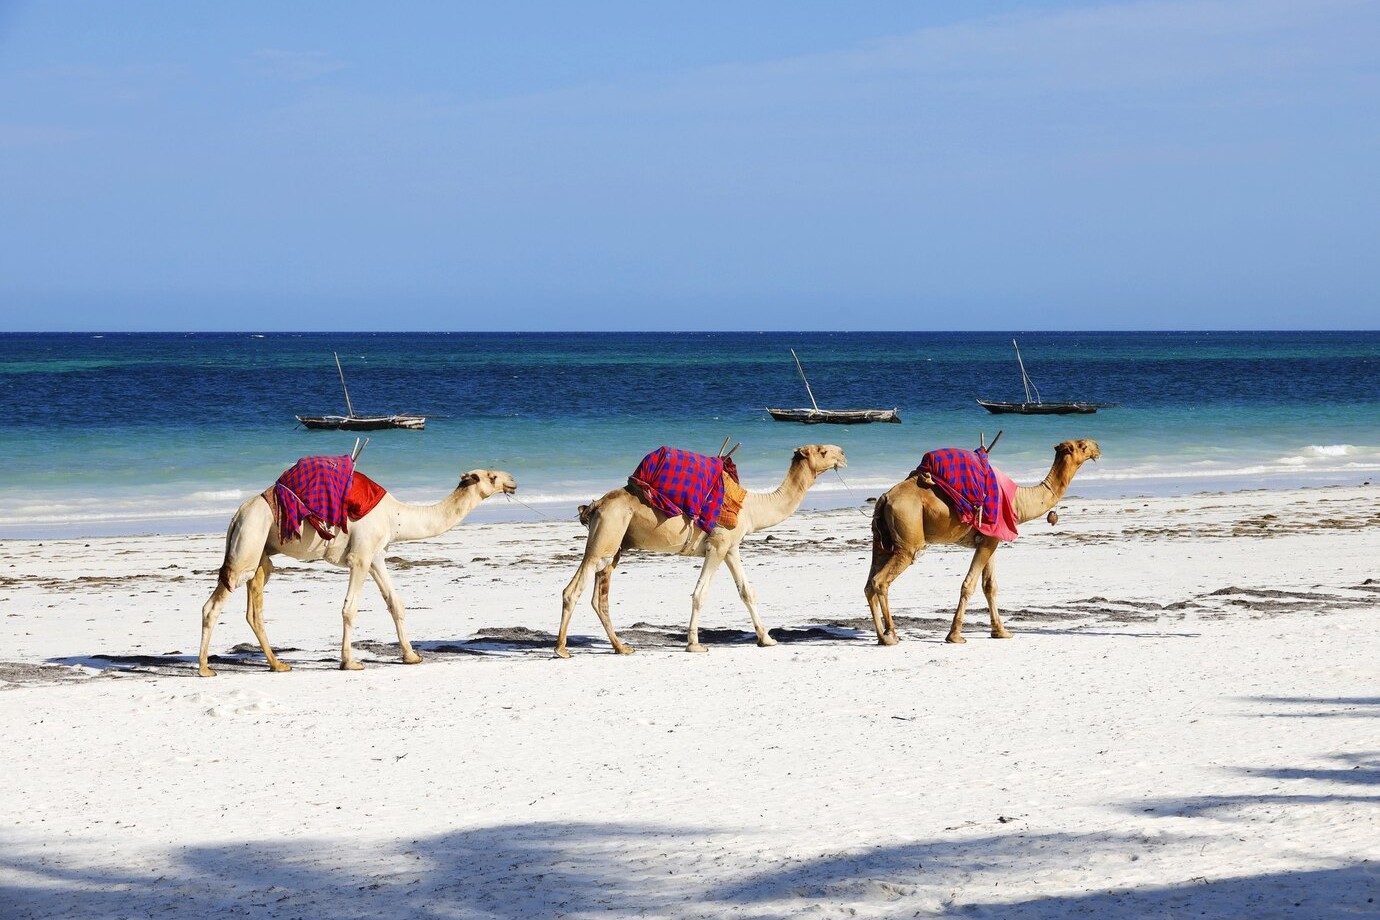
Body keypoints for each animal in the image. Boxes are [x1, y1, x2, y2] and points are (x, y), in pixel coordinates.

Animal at [198, 468, 517, 676]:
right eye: (491, 476)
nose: (512, 480)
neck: (396, 516)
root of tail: (237, 514)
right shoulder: (361, 557)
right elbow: (350, 608)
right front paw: (349, 662)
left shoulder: (377, 556)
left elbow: (395, 603)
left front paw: (411, 656)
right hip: (248, 546)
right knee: (215, 604)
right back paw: (205, 669)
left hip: (261, 554)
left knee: (253, 609)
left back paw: (277, 664)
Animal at [556, 444, 847, 657]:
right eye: (822, 451)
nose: (843, 454)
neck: (751, 508)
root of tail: (596, 505)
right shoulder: (718, 544)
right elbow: (700, 593)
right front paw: (694, 644)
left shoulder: (731, 547)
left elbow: (746, 591)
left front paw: (767, 639)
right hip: (606, 535)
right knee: (574, 589)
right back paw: (561, 650)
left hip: (616, 543)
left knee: (600, 597)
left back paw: (621, 647)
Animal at [864, 439, 1101, 645]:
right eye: (1082, 445)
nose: (1097, 447)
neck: (1018, 501)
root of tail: (885, 498)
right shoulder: (989, 541)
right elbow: (968, 584)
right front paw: (955, 635)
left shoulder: (990, 540)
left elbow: (990, 586)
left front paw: (1001, 631)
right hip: (908, 539)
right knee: (881, 581)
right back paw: (891, 635)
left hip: (881, 542)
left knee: (869, 585)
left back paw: (881, 636)